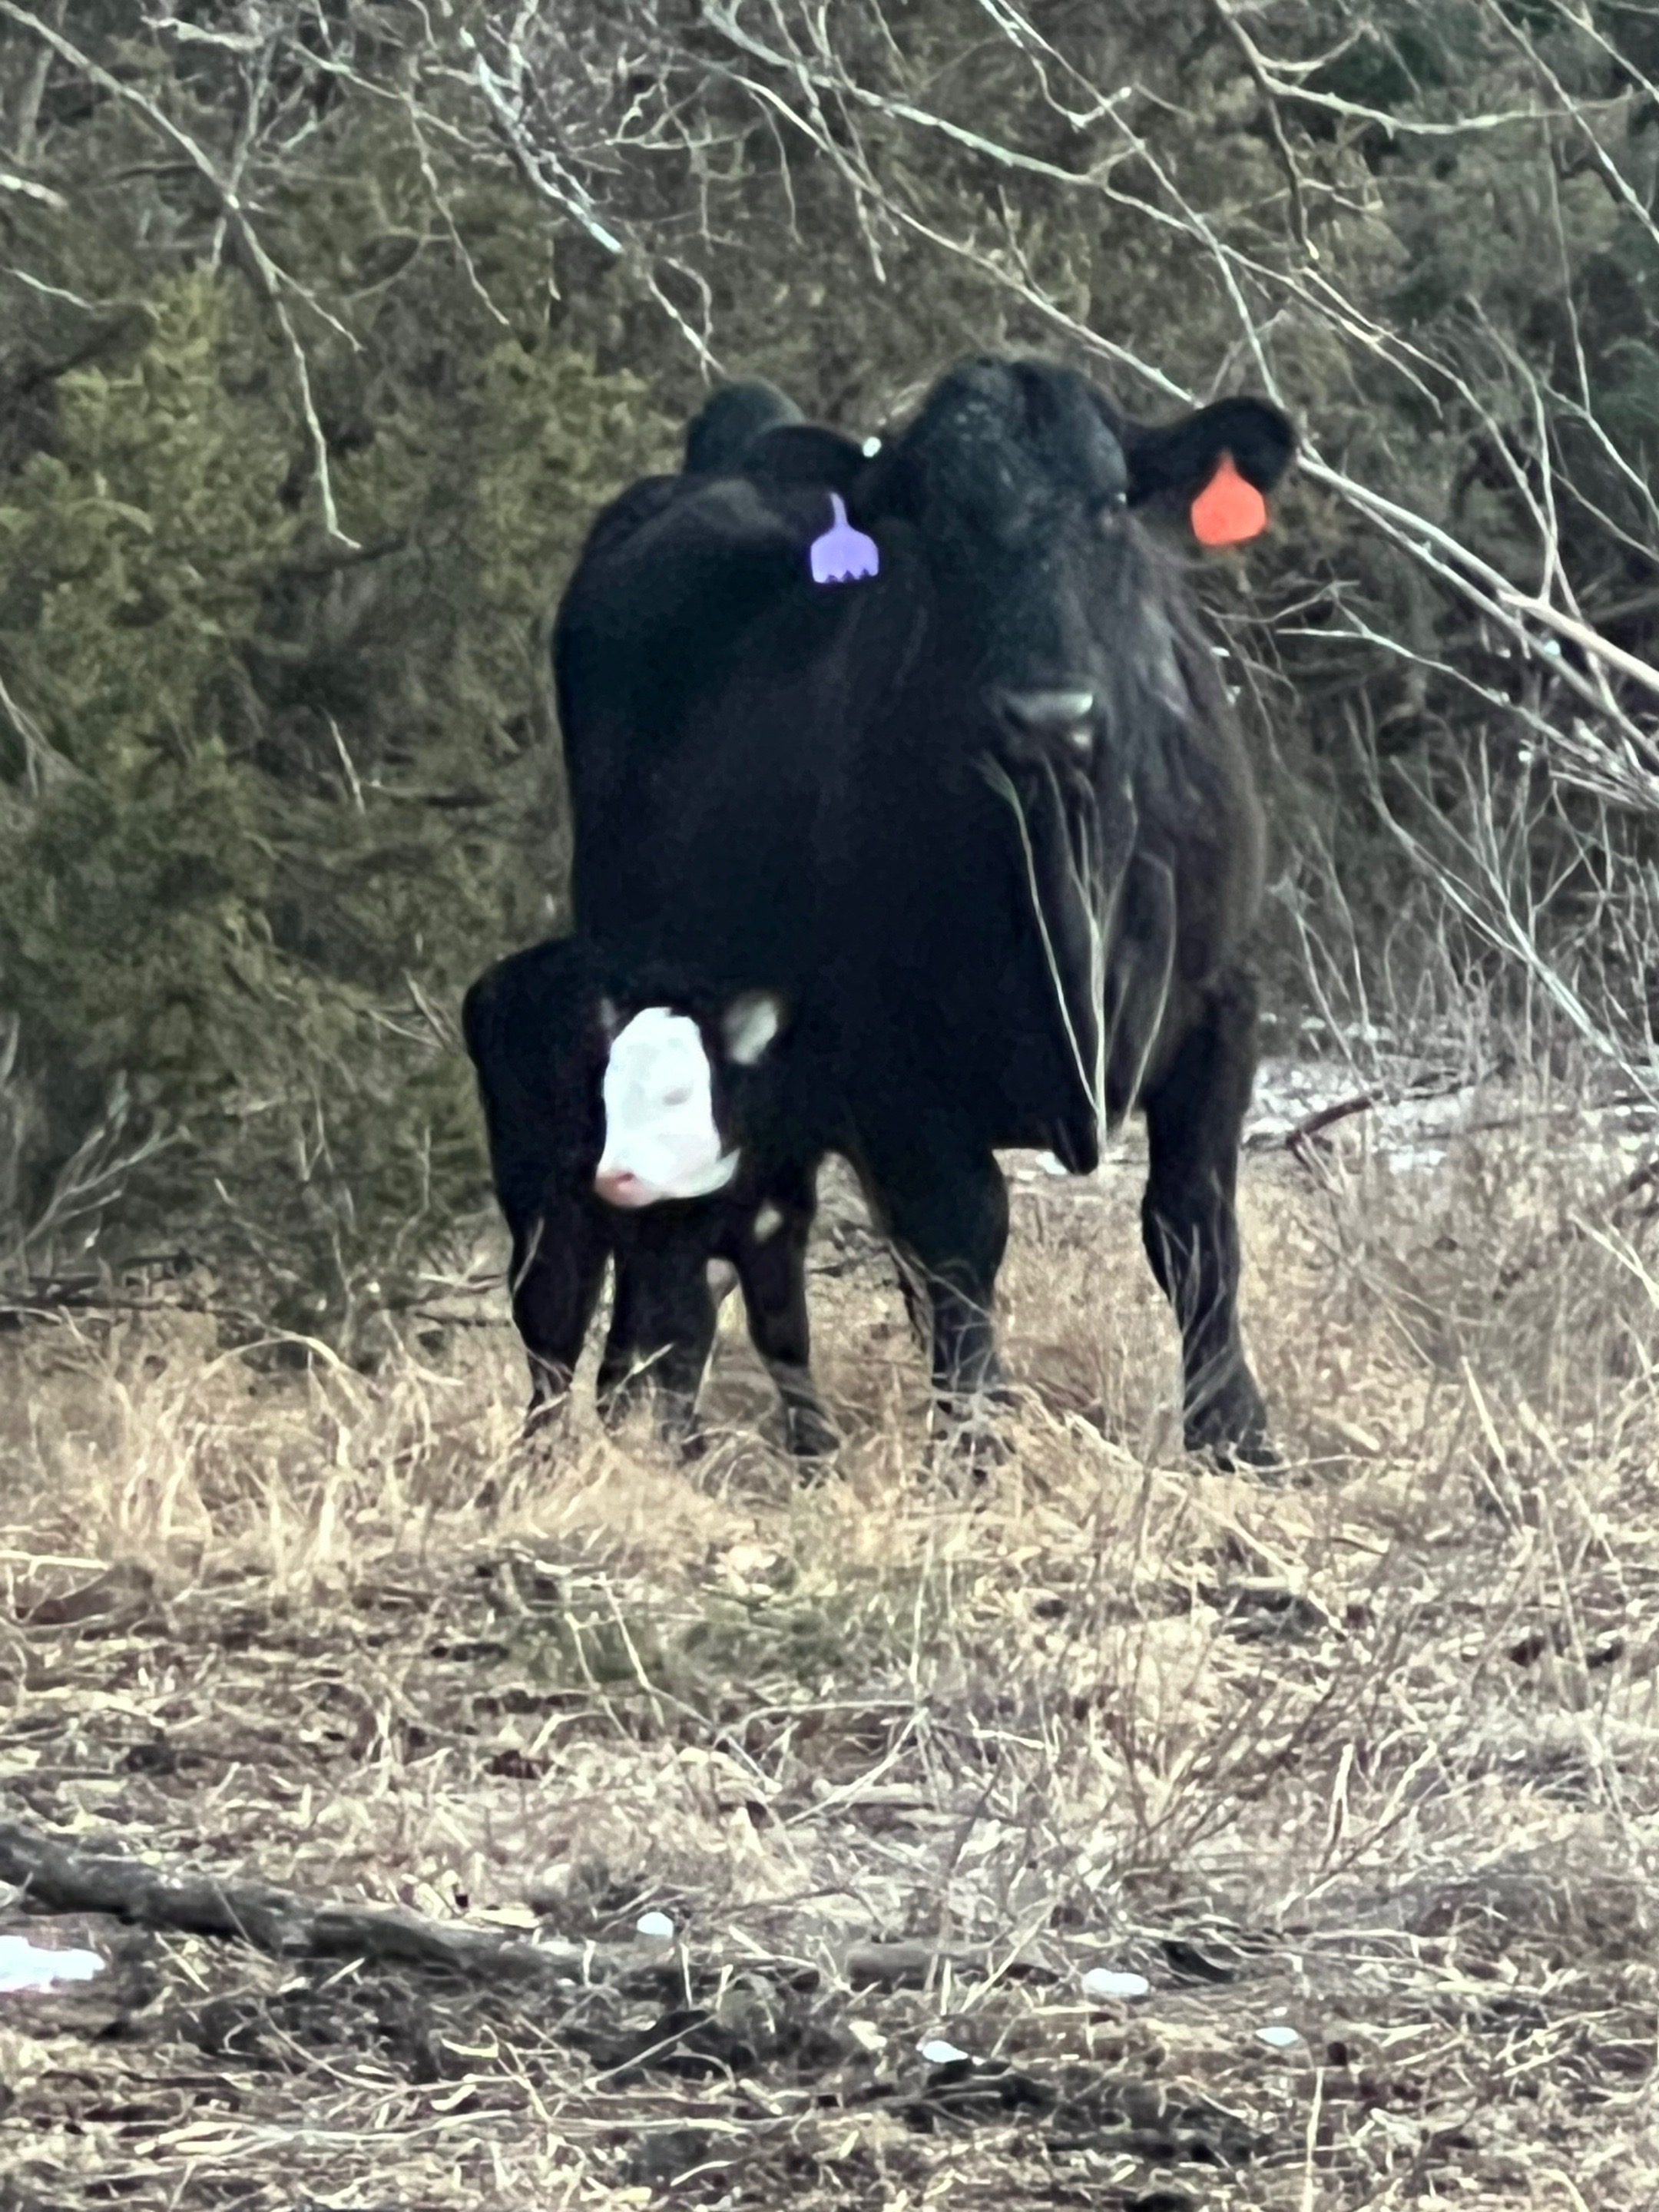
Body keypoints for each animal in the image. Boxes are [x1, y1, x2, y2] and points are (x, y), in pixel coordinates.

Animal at [461, 935, 837, 1458]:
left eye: (676, 1093)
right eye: (604, 1092)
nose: (613, 1176)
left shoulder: (777, 1222)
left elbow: (781, 1337)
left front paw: (816, 1450)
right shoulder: (669, 1244)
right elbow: (678, 1338)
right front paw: (680, 1449)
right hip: (546, 1211)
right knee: (552, 1323)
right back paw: (543, 1445)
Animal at [553, 357, 1295, 1466]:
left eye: (1115, 503)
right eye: (932, 529)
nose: (1047, 717)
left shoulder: (1224, 1002)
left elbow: (1193, 1221)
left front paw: (1237, 1437)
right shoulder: (889, 1059)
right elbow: (961, 1237)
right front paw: (978, 1447)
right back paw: (659, 1429)